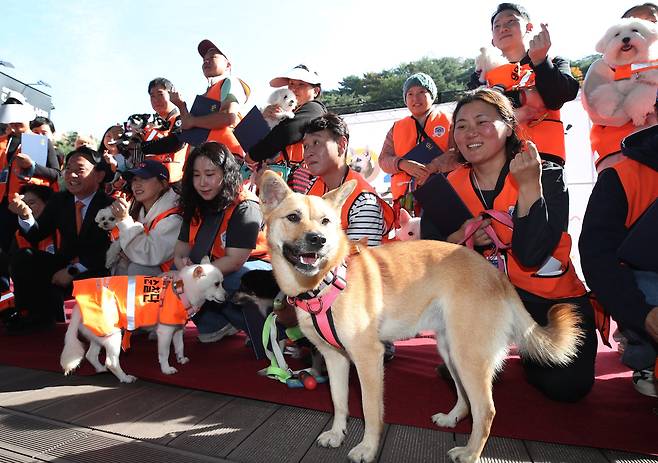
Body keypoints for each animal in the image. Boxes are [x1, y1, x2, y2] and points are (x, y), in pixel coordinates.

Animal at [61, 258, 226, 384]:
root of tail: (77, 308)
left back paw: (101, 369)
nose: (228, 295)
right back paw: (125, 378)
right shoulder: (165, 333)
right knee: (111, 362)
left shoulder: (177, 330)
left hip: (101, 335)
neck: (180, 289)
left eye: (222, 282)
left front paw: (181, 359)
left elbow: (180, 346)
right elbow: (164, 353)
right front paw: (166, 370)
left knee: (91, 355)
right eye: (216, 284)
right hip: (113, 337)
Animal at [256, 172, 580, 463]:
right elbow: (338, 401)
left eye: (325, 221)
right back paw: (452, 419)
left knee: (486, 411)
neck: (324, 283)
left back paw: (470, 453)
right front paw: (337, 434)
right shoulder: (335, 359)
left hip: (468, 356)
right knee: (465, 399)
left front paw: (367, 449)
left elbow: (370, 409)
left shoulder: (368, 359)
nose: (319, 240)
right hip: (451, 352)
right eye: (293, 217)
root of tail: (496, 275)